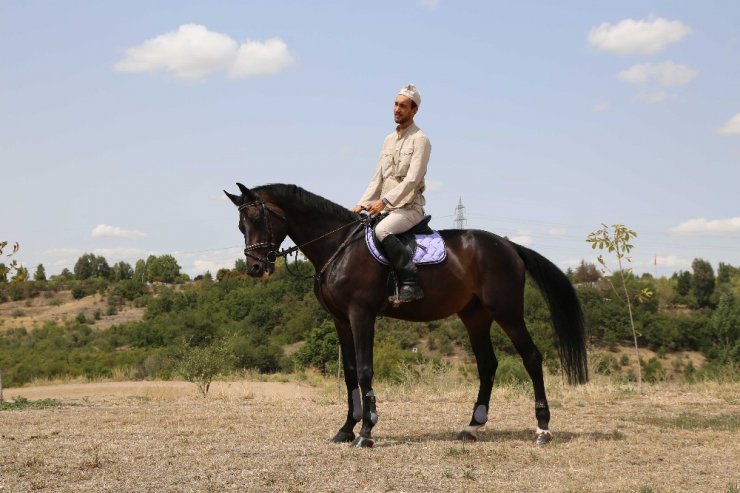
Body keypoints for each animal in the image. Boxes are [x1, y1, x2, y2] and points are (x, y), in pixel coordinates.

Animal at [223, 183, 588, 448]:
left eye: (259, 220)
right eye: (241, 225)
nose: (255, 268)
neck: (338, 246)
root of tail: (509, 246)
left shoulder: (361, 314)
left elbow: (365, 370)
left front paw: (367, 432)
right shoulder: (340, 320)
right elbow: (350, 373)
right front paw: (346, 429)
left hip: (507, 311)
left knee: (532, 358)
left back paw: (542, 429)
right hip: (475, 316)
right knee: (488, 364)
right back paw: (472, 426)